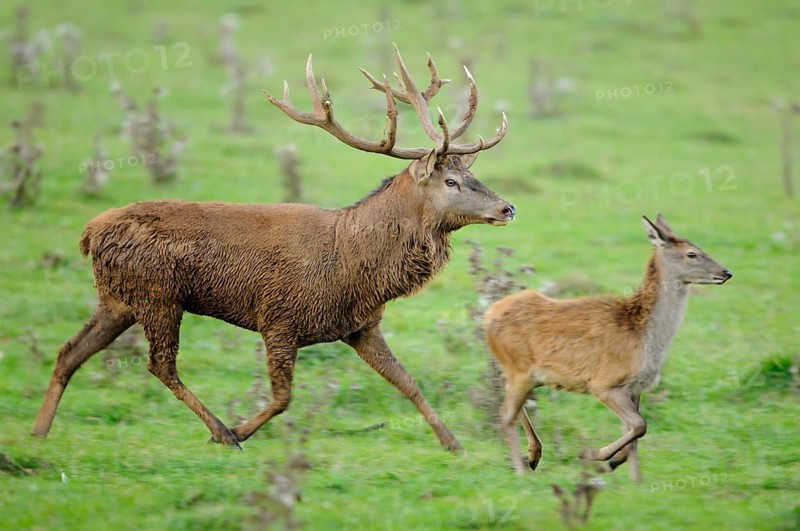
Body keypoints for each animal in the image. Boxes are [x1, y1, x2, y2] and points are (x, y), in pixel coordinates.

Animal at [31, 45, 515, 452]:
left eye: (472, 175)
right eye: (450, 181)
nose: (507, 207)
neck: (353, 267)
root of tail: (90, 232)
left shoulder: (361, 325)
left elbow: (408, 382)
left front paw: (453, 443)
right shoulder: (279, 318)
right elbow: (284, 397)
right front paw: (239, 429)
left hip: (119, 298)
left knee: (70, 351)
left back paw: (38, 431)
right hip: (158, 295)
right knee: (160, 365)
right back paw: (221, 430)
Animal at [483, 215, 732, 478]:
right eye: (692, 254)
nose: (727, 272)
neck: (643, 339)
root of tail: (488, 315)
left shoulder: (635, 387)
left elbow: (635, 435)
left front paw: (632, 476)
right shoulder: (604, 383)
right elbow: (639, 425)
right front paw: (596, 454)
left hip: (522, 372)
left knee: (507, 395)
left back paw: (534, 455)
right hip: (520, 369)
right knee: (505, 414)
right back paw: (522, 469)